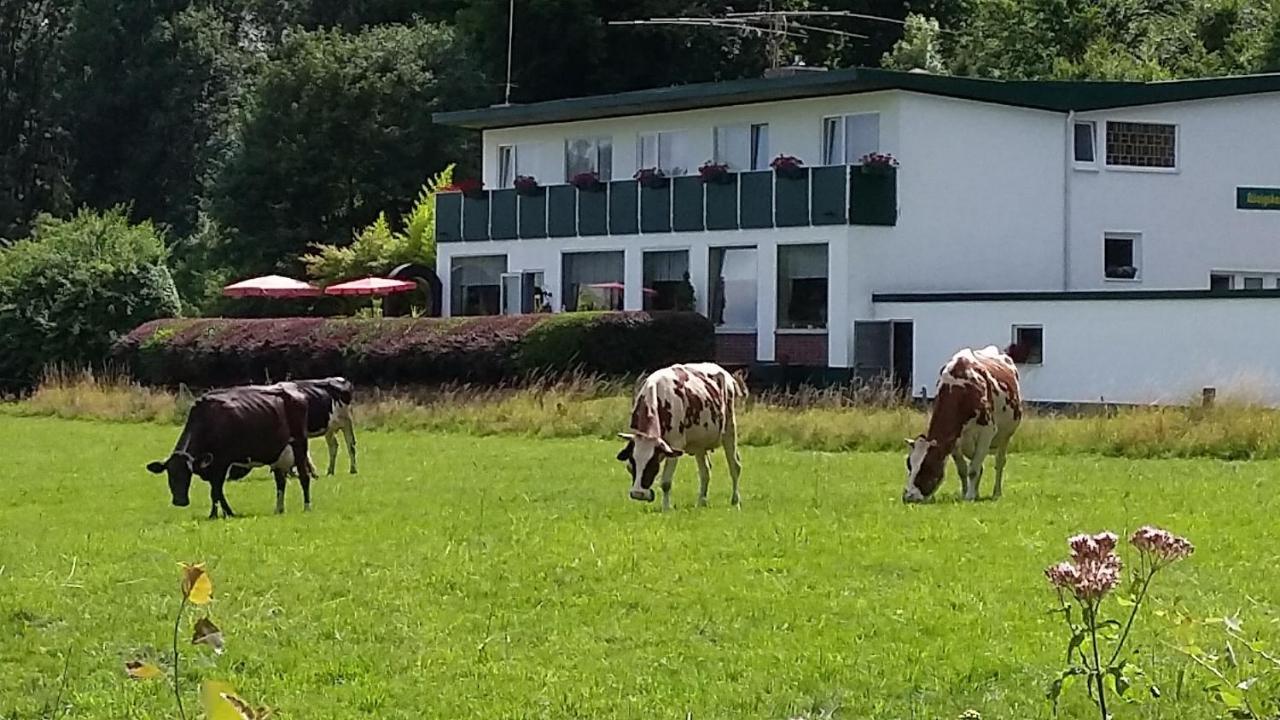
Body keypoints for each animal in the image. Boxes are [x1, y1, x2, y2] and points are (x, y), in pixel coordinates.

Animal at [145, 386, 312, 515]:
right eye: (170, 474)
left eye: (188, 473)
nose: (180, 501)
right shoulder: (212, 466)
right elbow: (216, 491)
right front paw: (222, 513)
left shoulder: (222, 462)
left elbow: (216, 491)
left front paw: (219, 514)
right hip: (277, 454)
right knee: (280, 482)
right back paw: (279, 509)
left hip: (299, 445)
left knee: (304, 476)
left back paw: (307, 507)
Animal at [614, 361, 747, 507]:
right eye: (633, 461)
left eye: (653, 463)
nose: (638, 494)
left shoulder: (675, 445)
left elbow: (666, 482)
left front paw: (666, 508)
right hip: (699, 443)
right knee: (705, 471)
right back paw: (701, 502)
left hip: (729, 429)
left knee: (735, 466)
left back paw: (735, 501)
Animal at [906, 345, 1024, 502]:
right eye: (909, 464)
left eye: (928, 465)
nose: (909, 496)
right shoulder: (953, 440)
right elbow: (963, 469)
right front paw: (965, 493)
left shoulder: (986, 432)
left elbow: (973, 469)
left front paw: (969, 496)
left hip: (1006, 435)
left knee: (999, 462)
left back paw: (996, 493)